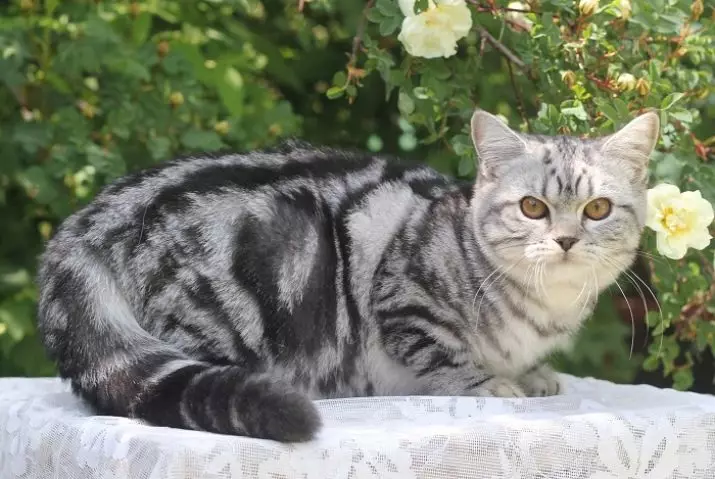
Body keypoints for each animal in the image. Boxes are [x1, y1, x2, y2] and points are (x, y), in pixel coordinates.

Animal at [33, 109, 660, 442]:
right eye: (533, 207)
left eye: (597, 209)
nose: (566, 239)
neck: (544, 309)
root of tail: (94, 219)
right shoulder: (403, 301)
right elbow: (444, 357)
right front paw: (492, 382)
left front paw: (535, 375)